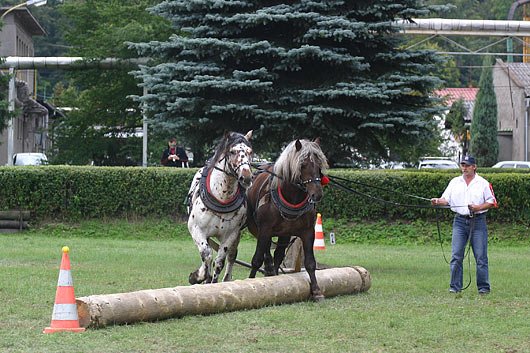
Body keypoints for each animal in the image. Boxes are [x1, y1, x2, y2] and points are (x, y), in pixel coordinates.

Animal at [186, 131, 252, 284]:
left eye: (250, 151)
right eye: (232, 151)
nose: (246, 177)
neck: (222, 198)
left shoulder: (231, 235)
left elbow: (219, 262)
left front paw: (212, 281)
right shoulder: (196, 229)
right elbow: (207, 255)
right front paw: (197, 276)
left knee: (232, 256)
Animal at [245, 138, 328, 300]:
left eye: (319, 165)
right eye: (302, 165)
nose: (317, 194)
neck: (292, 198)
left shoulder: (308, 232)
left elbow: (310, 263)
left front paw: (316, 291)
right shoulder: (264, 230)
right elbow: (256, 259)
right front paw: (250, 282)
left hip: (284, 234)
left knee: (278, 256)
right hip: (257, 229)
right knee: (266, 253)